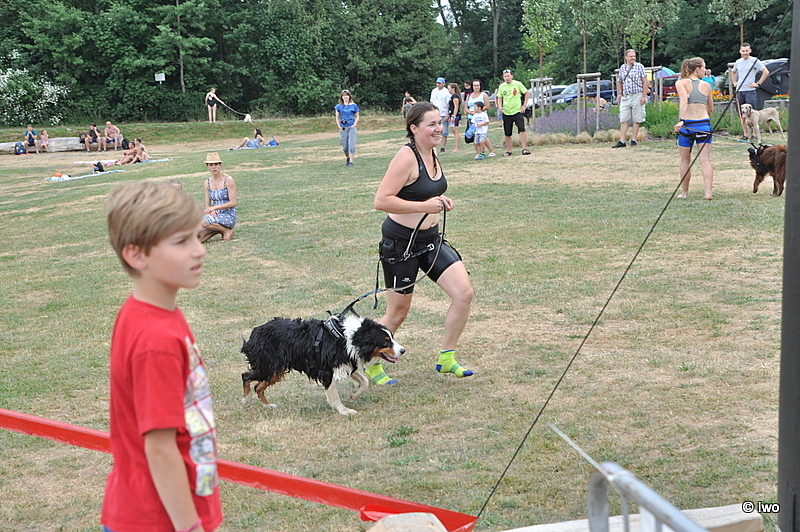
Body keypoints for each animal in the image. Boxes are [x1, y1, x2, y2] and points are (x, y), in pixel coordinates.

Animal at [241, 314, 405, 415]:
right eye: (385, 342)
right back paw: (246, 400)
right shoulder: (327, 371)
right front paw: (344, 411)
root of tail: (256, 330)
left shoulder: (346, 363)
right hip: (268, 366)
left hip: (275, 370)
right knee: (246, 376)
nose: (403, 350)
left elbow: (365, 381)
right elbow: (334, 395)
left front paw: (354, 395)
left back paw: (268, 405)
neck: (348, 337)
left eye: (392, 337)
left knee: (258, 386)